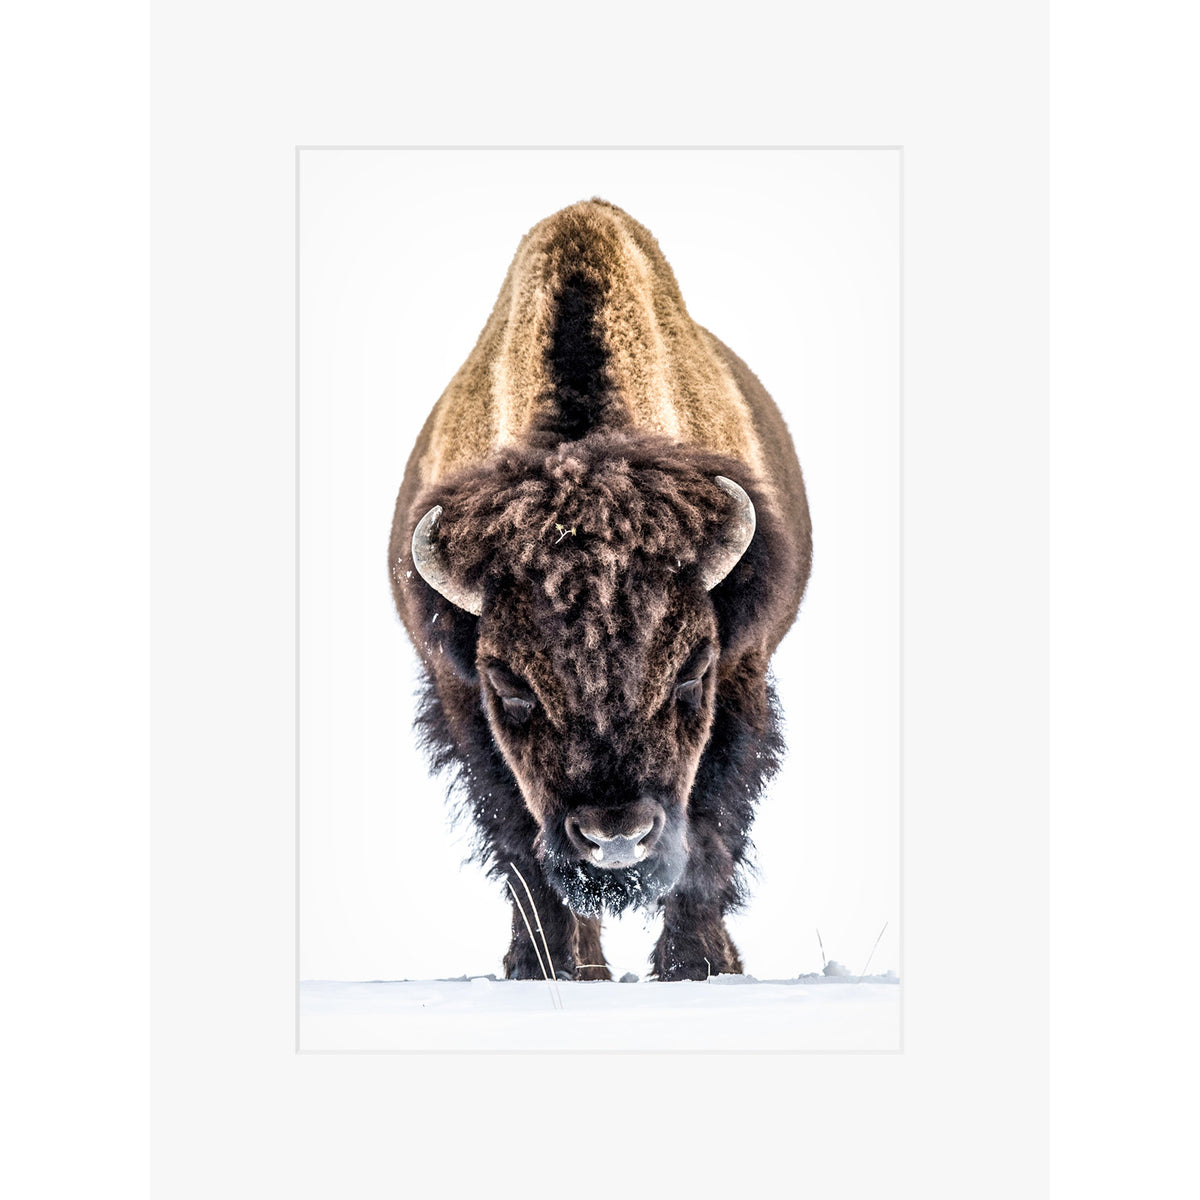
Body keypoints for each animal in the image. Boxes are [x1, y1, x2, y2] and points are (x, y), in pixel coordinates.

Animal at [389, 199, 812, 981]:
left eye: (692, 672)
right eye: (511, 685)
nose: (616, 836)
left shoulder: (743, 672)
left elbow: (710, 829)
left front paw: (695, 965)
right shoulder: (460, 698)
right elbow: (521, 846)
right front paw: (546, 968)